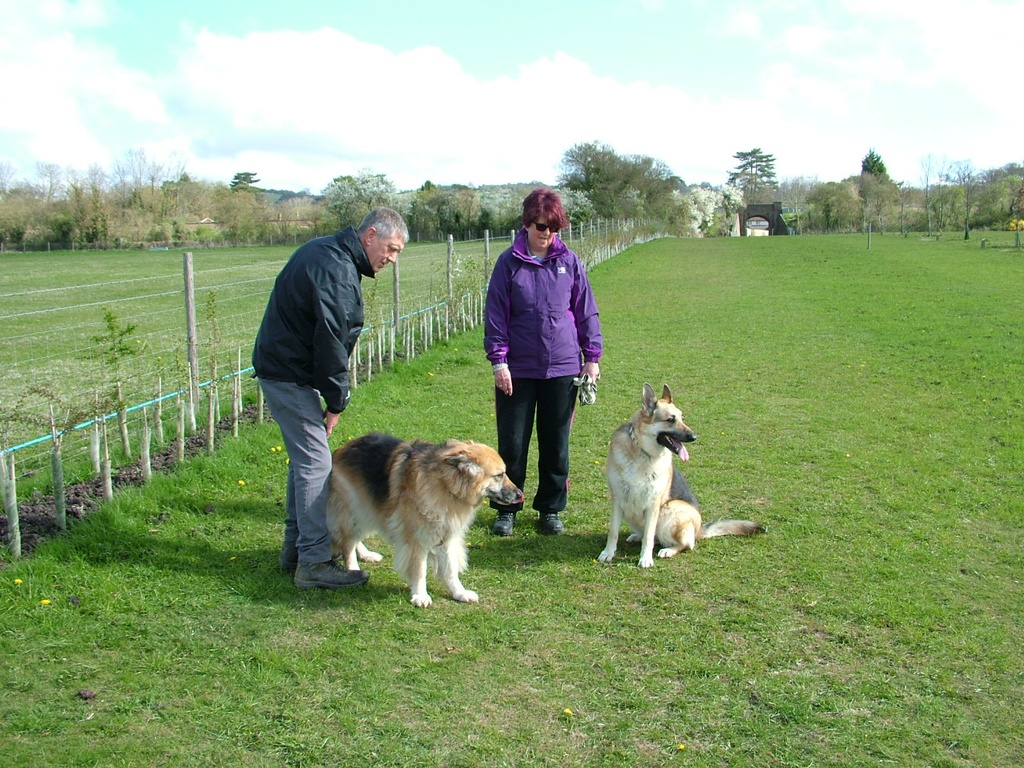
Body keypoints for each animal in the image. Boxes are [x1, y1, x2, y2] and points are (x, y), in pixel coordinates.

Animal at [325, 434, 524, 606]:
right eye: (499, 475)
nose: (520, 495)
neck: (447, 485)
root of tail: (342, 450)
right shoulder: (417, 540)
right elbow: (419, 570)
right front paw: (420, 595)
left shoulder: (446, 537)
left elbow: (450, 569)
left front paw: (459, 592)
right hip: (353, 510)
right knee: (347, 543)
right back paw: (353, 568)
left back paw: (366, 554)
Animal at [598, 387, 765, 569]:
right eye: (671, 420)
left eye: (682, 418)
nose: (694, 437)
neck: (642, 452)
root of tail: (699, 530)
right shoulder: (617, 500)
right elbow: (613, 532)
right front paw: (608, 553)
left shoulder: (653, 504)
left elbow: (648, 537)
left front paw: (645, 559)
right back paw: (637, 537)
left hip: (671, 509)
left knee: (684, 544)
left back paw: (668, 550)